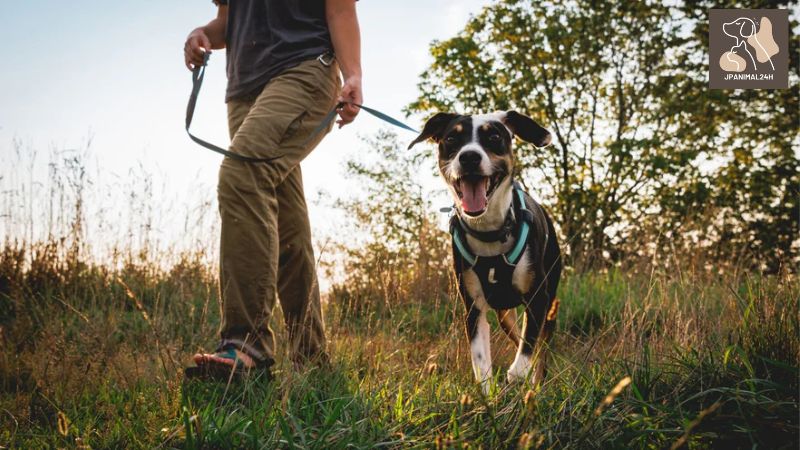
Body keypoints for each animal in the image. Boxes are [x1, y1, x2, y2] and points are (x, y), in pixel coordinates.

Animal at [406, 110, 564, 392]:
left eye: (494, 137)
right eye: (451, 138)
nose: (469, 156)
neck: (491, 230)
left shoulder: (538, 298)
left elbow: (528, 349)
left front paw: (518, 375)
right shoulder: (473, 307)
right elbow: (481, 363)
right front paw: (489, 394)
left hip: (550, 299)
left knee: (541, 347)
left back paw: (537, 382)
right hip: (504, 314)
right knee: (515, 333)